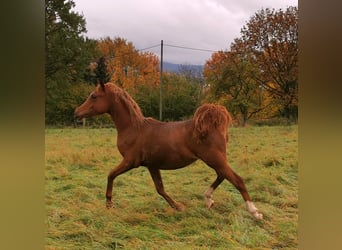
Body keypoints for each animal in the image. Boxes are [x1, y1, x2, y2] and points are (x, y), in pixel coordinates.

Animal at [73, 82, 264, 221]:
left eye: (94, 96)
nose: (76, 113)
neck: (134, 128)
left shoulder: (130, 162)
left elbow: (111, 175)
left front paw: (108, 204)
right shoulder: (152, 165)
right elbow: (160, 188)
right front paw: (178, 207)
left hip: (214, 159)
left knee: (237, 179)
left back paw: (255, 212)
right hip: (216, 160)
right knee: (222, 175)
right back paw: (208, 199)